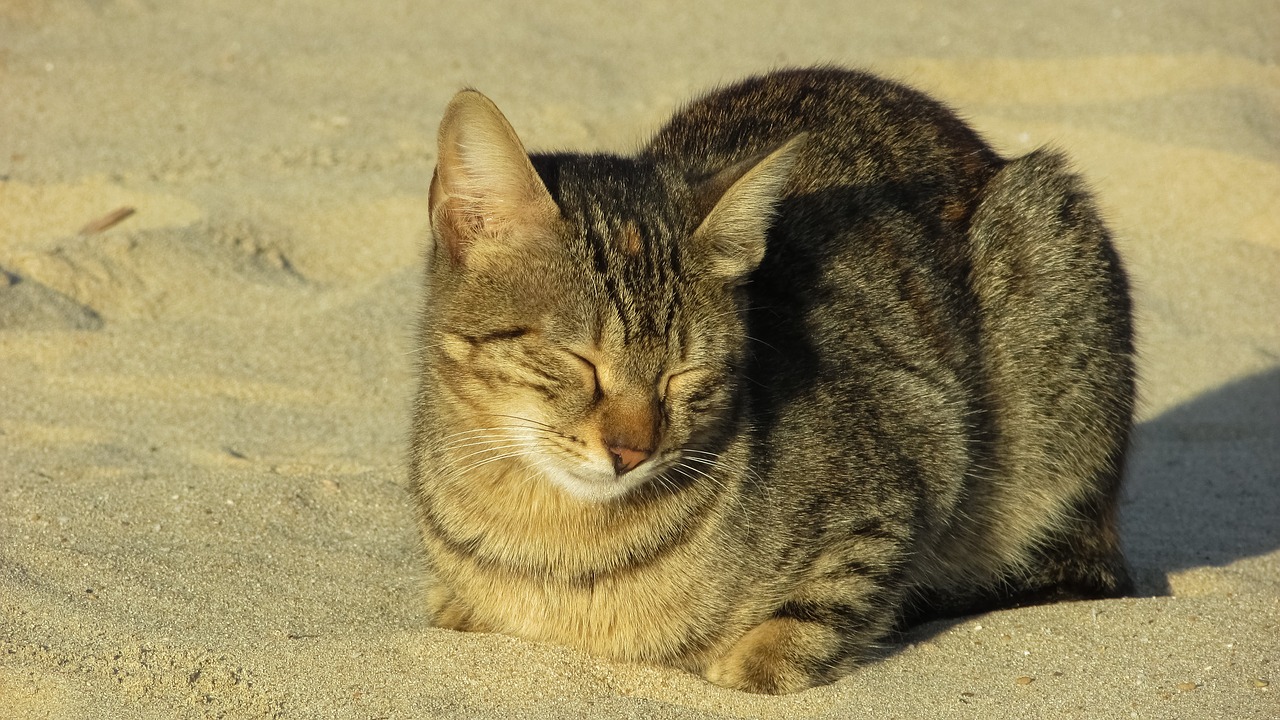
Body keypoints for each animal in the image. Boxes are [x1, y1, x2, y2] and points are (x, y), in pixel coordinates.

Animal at [407, 65, 1131, 691]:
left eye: (683, 373)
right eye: (579, 360)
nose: (632, 451)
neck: (552, 546)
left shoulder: (922, 452)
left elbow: (826, 607)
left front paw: (757, 658)